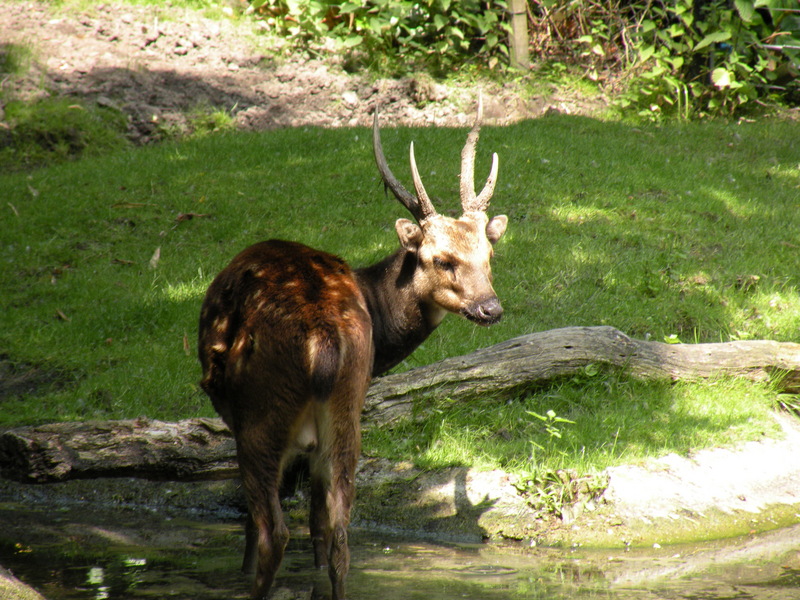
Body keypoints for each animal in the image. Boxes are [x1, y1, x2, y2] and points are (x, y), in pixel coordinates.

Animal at [199, 99, 510, 600]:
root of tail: (323, 339)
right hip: (346, 416)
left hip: (261, 415)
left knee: (272, 531)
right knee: (340, 530)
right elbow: (318, 526)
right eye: (442, 259)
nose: (491, 307)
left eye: (489, 256)